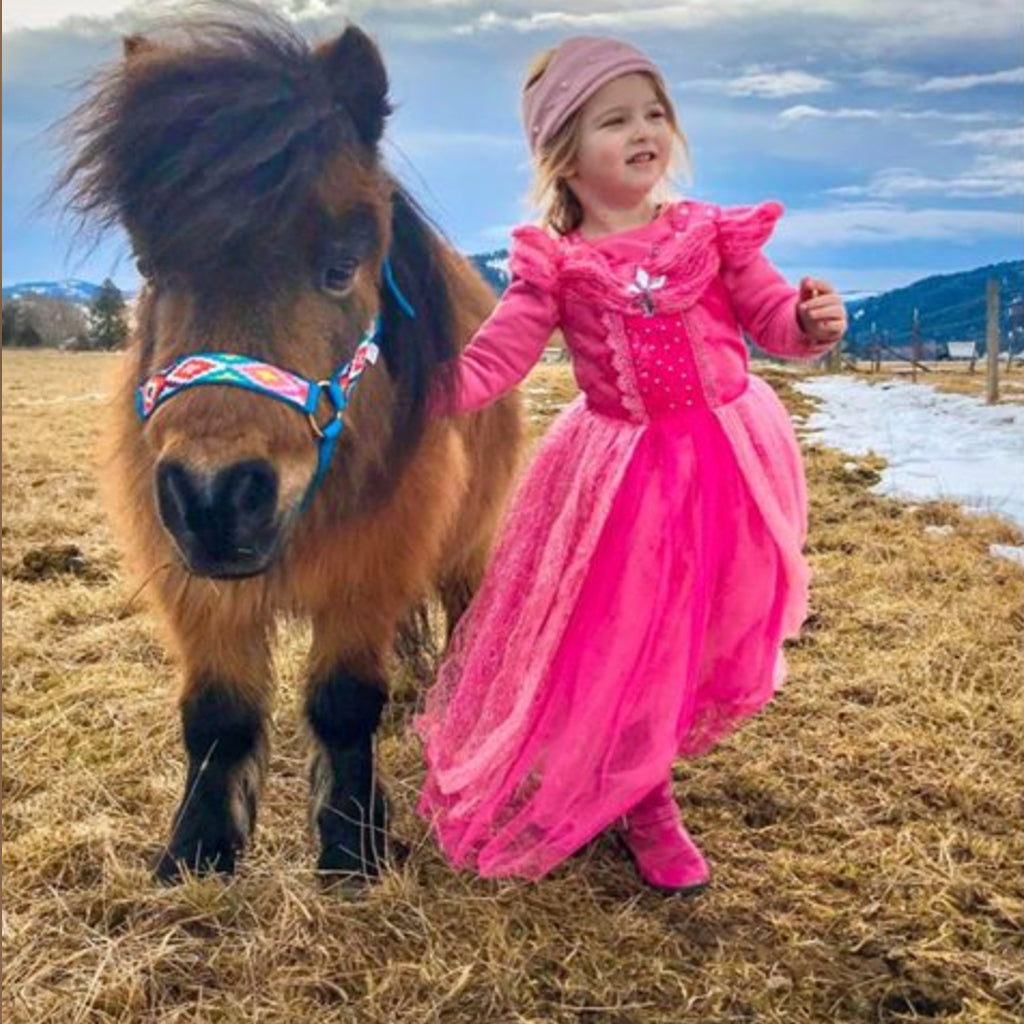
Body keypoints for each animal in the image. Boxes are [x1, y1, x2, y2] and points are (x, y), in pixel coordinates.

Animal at [57, 5, 525, 883]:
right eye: (148, 265)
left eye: (341, 267)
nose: (215, 497)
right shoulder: (197, 584)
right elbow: (218, 712)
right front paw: (198, 851)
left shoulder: (372, 566)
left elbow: (343, 704)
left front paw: (350, 848)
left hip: (468, 545)